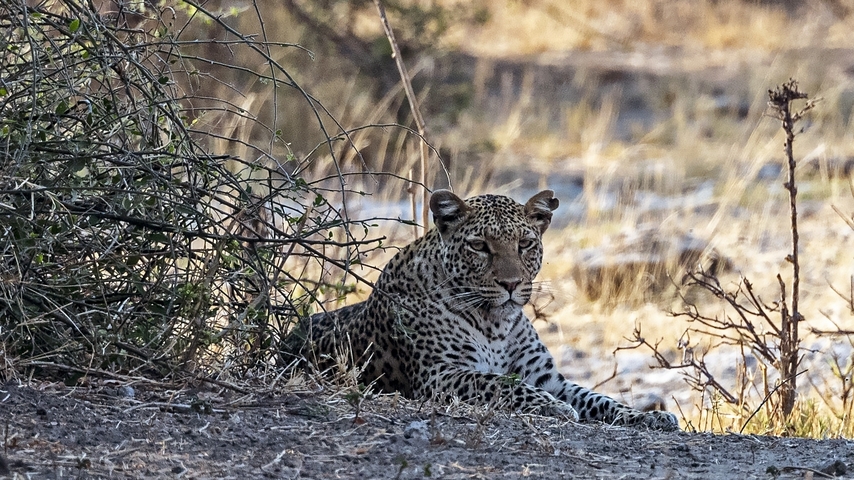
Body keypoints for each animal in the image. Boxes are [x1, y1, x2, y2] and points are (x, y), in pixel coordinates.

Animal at [286, 189, 679, 431]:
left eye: (525, 244)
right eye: (479, 246)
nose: (510, 284)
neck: (495, 324)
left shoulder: (548, 378)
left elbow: (597, 398)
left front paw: (647, 417)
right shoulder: (441, 374)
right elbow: (499, 383)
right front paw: (554, 407)